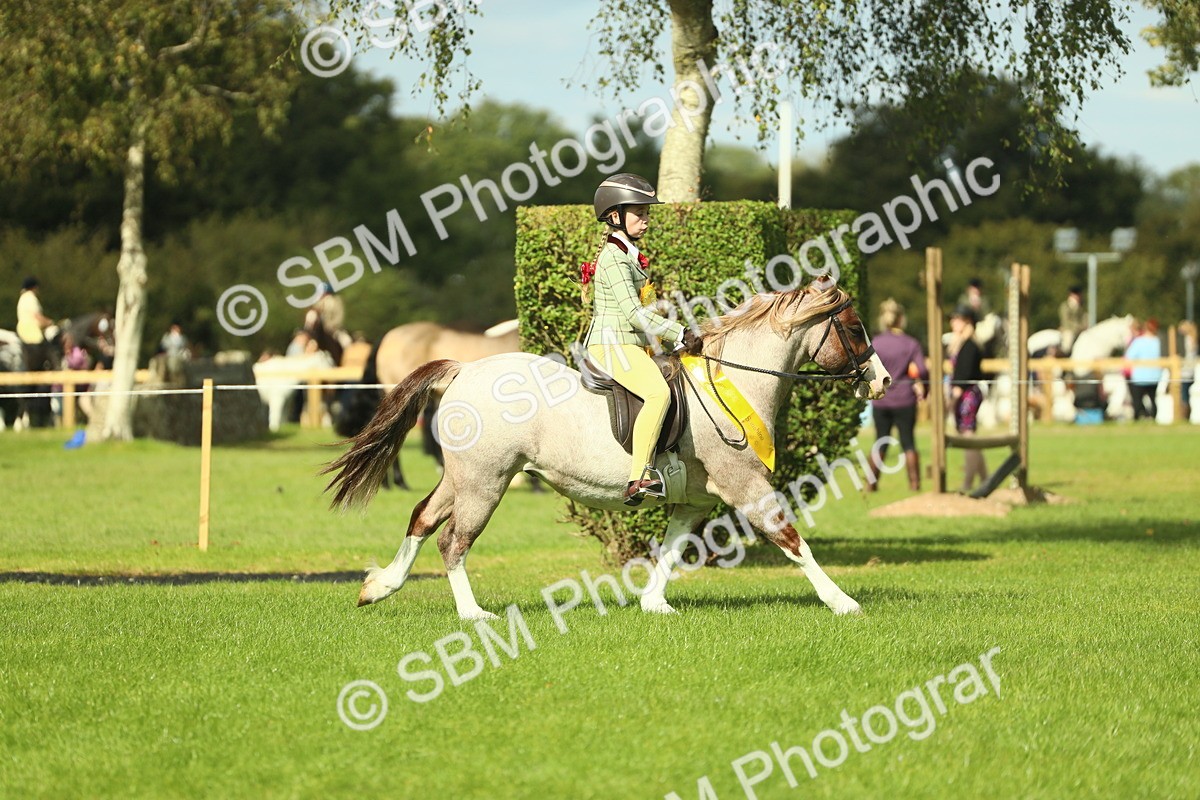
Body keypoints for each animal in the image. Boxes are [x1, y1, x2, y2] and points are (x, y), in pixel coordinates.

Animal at [323, 279, 890, 620]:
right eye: (855, 327)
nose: (882, 381)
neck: (731, 383)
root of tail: (464, 369)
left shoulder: (695, 500)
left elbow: (672, 548)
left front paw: (654, 604)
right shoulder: (746, 486)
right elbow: (793, 540)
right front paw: (842, 601)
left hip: (463, 479)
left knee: (421, 519)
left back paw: (380, 586)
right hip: (486, 483)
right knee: (452, 543)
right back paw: (472, 615)